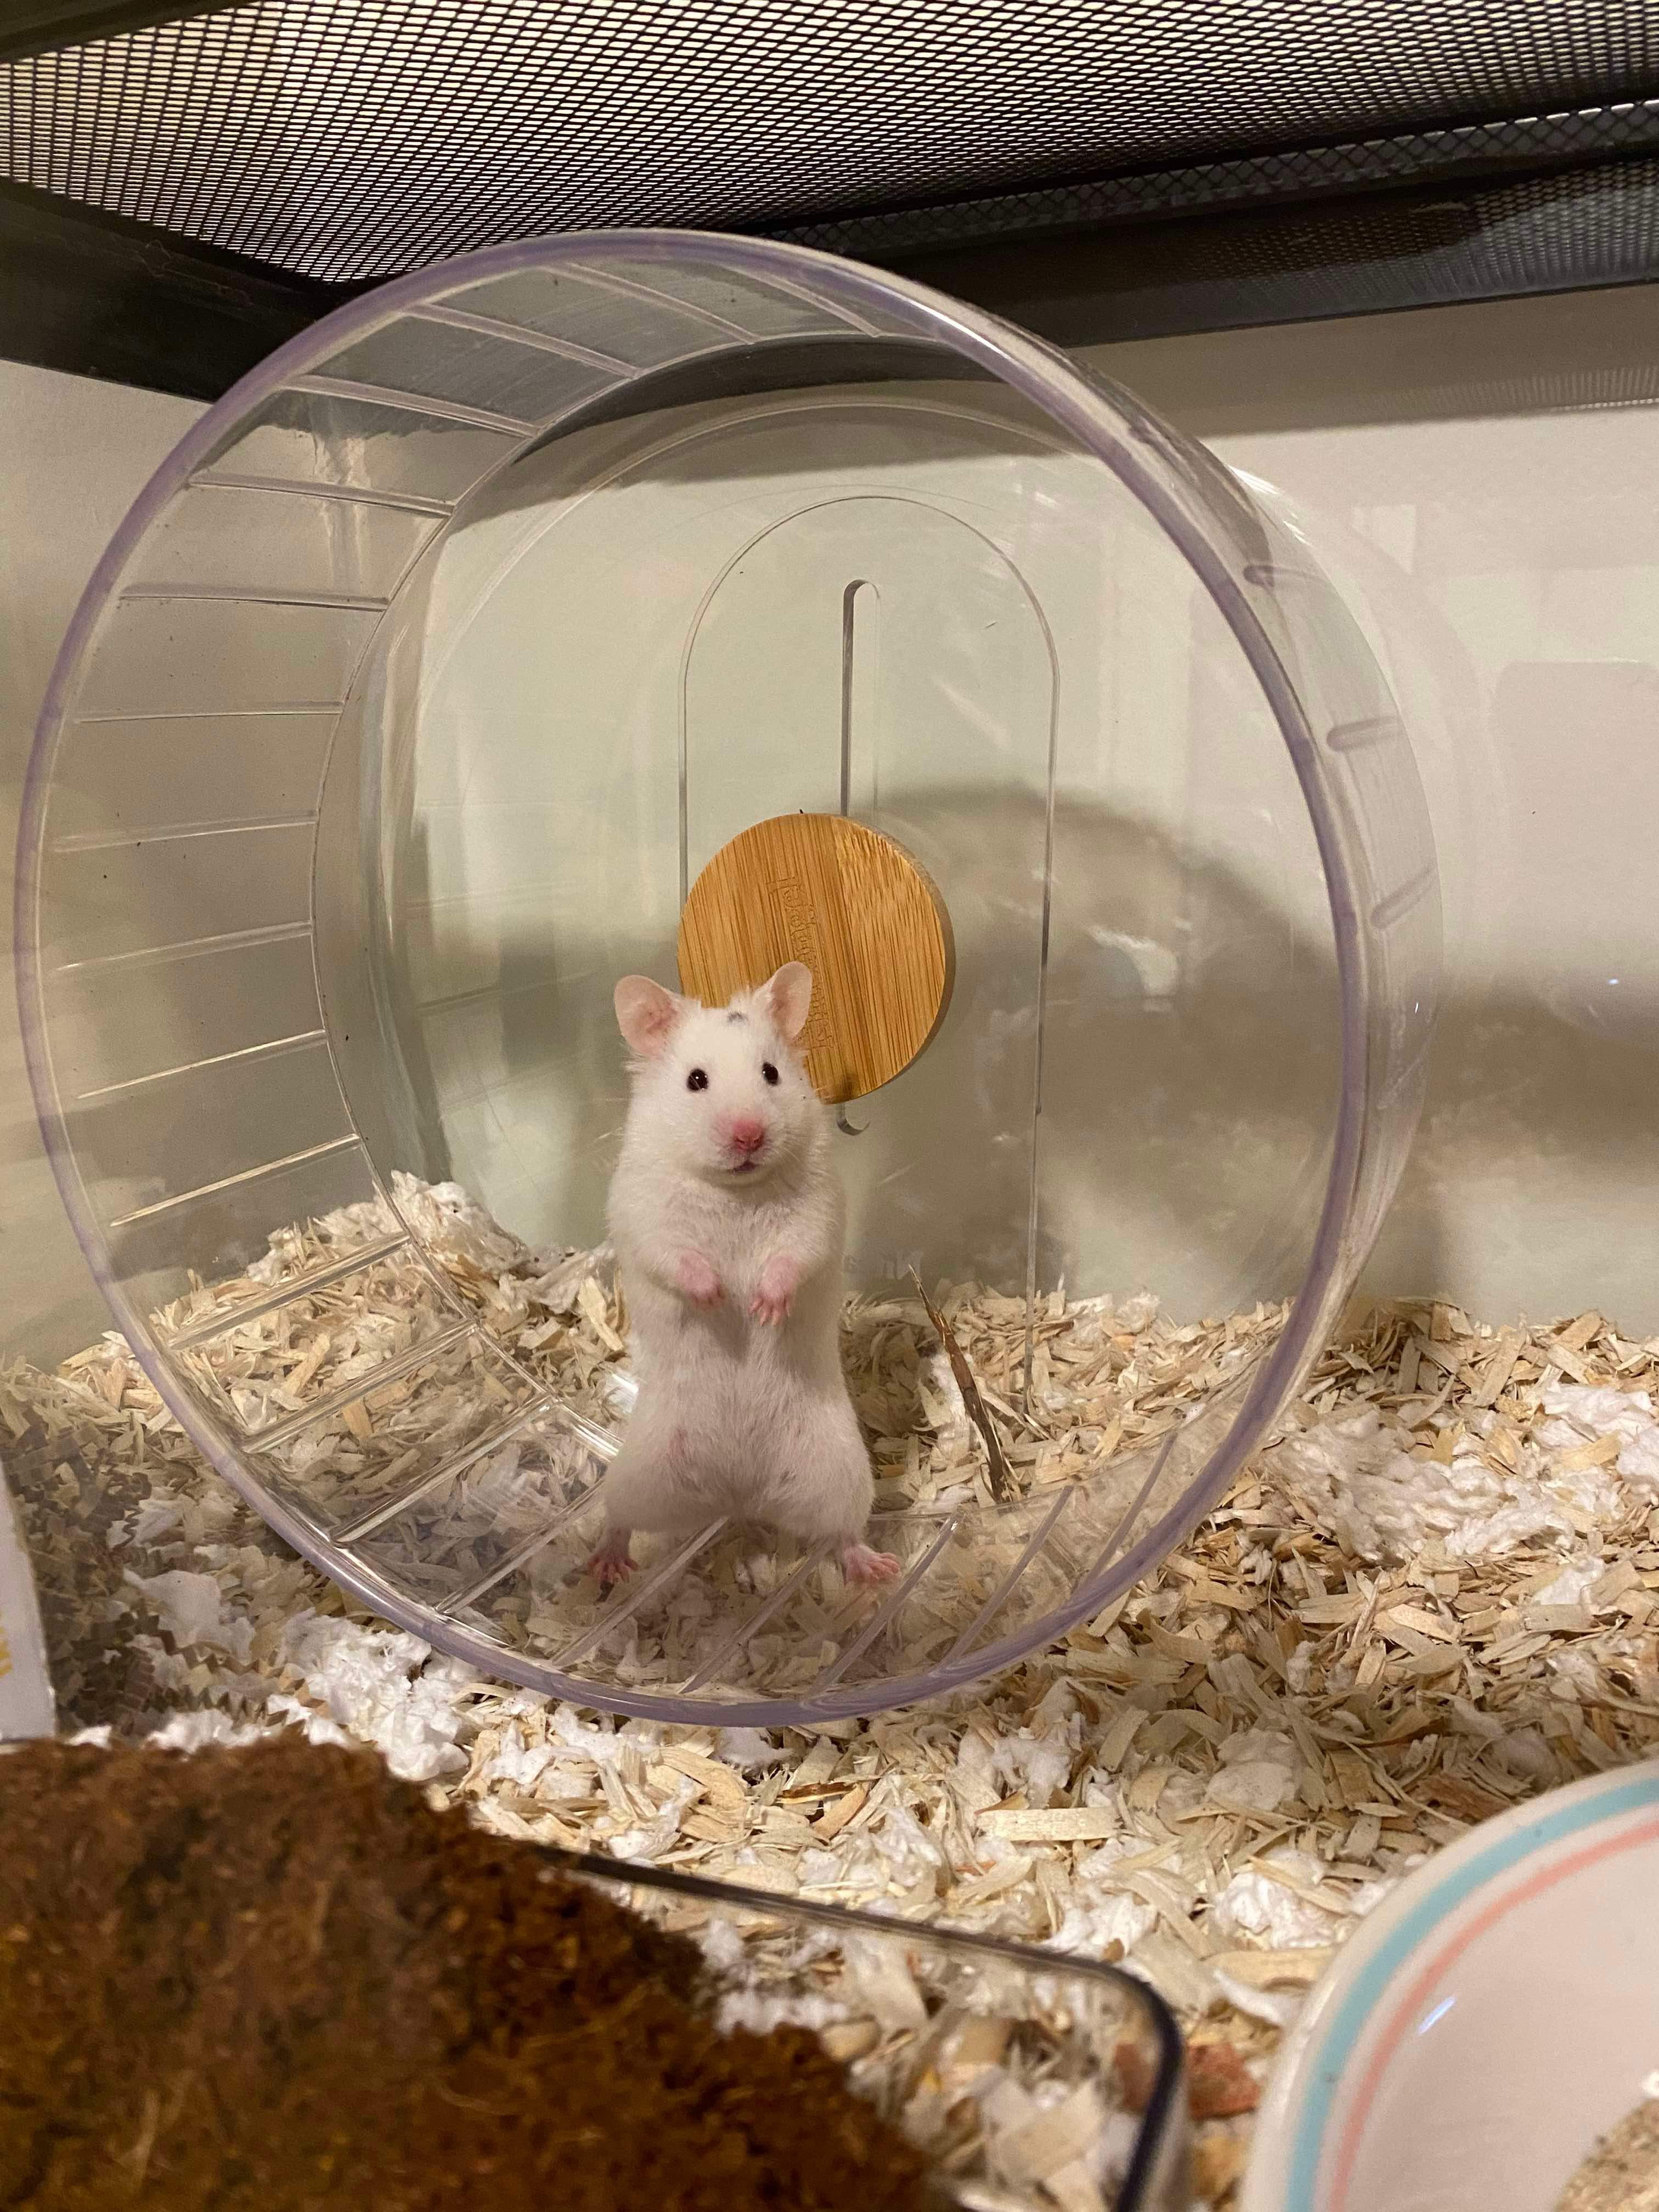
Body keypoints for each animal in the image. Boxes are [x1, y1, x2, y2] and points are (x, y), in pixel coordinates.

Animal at [587, 960, 901, 1591]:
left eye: (771, 1073)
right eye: (696, 1080)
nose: (750, 1135)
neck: (734, 1190)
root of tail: (740, 1496)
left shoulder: (817, 1214)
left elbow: (792, 1258)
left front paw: (761, 1306)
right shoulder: (645, 1215)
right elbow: (677, 1258)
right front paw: (717, 1299)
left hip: (839, 1472)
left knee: (840, 1533)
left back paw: (878, 1569)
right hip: (641, 1471)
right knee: (619, 1518)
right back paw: (607, 1565)